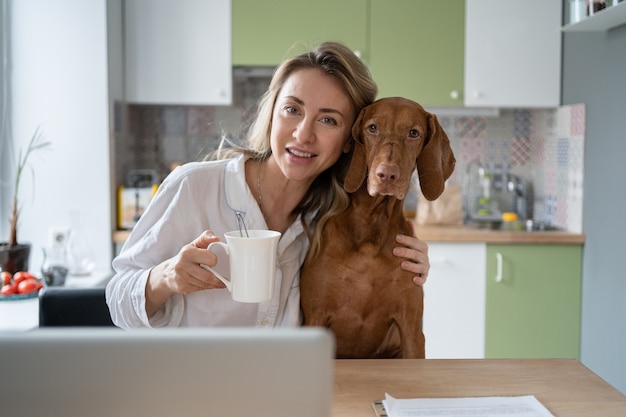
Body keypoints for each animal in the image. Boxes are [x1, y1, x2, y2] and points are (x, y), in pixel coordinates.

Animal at [298, 96, 450, 358]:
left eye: (414, 133)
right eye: (372, 128)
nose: (386, 174)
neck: (372, 227)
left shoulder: (411, 329)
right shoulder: (315, 316)